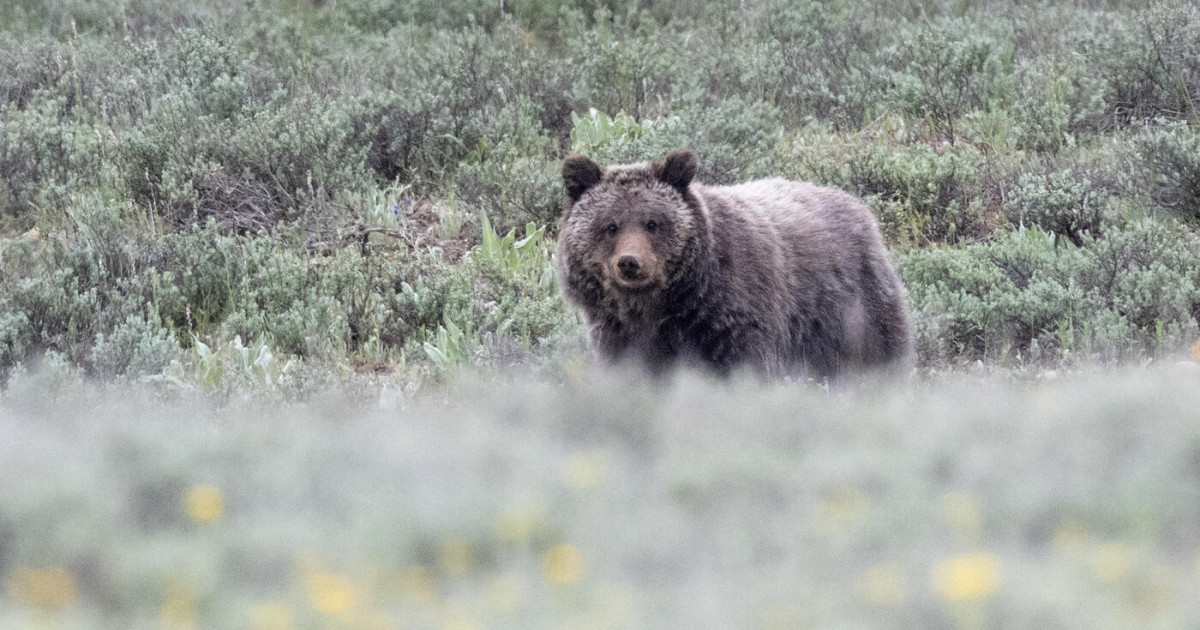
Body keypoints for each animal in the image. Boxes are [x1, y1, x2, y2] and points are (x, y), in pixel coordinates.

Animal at [555, 149, 911, 379]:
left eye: (652, 223)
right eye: (611, 225)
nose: (630, 263)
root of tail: (859, 206)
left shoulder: (735, 317)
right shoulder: (620, 335)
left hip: (850, 310)